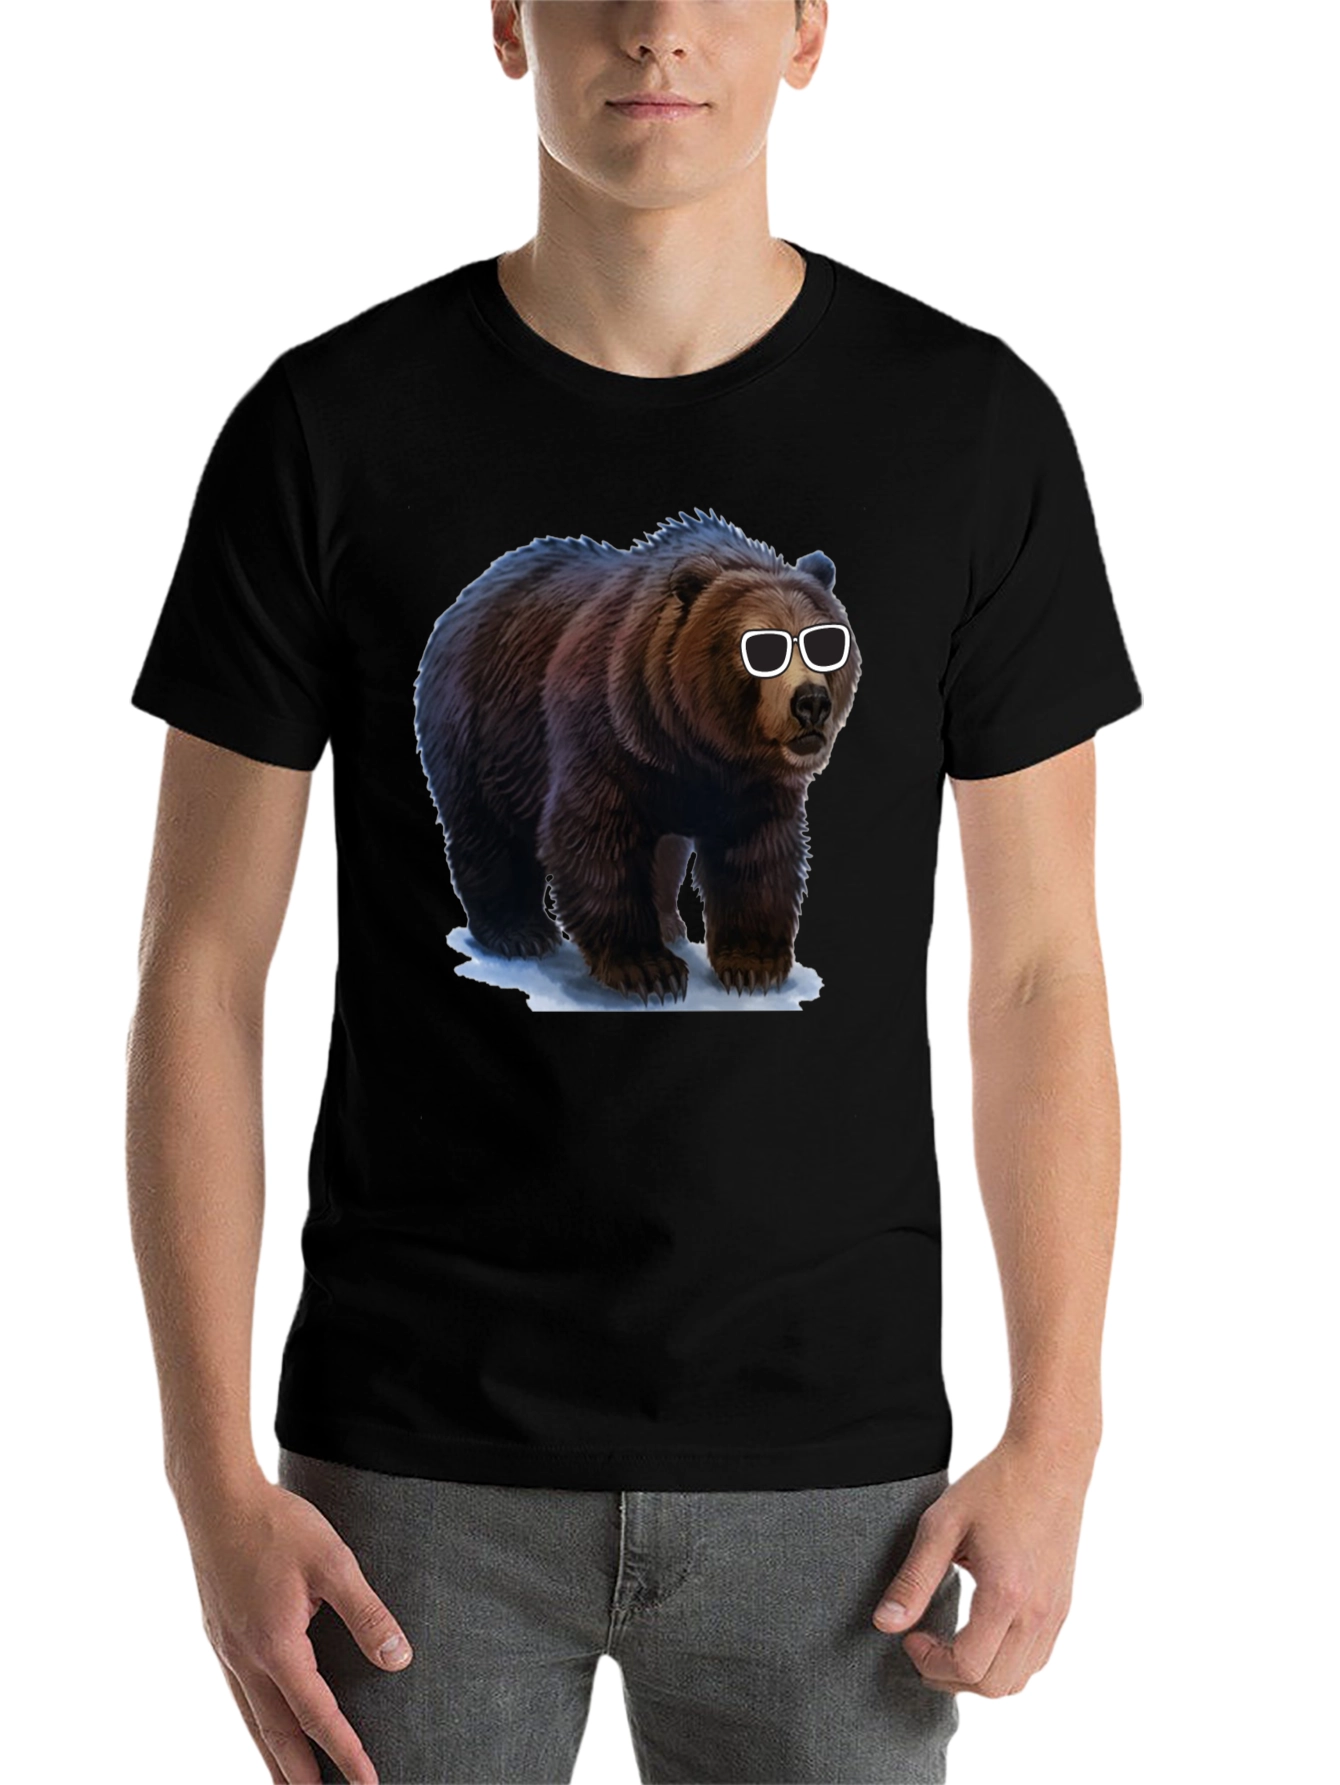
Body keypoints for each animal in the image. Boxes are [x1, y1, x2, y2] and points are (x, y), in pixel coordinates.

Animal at [414, 509, 860, 1005]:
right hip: (480, 726)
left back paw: (666, 922)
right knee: (484, 824)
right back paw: (518, 932)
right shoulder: (606, 731)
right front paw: (648, 970)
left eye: (825, 645)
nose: (811, 702)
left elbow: (756, 849)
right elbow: (593, 838)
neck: (697, 743)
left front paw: (752, 964)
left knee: (664, 850)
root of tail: (467, 597)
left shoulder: (747, 779)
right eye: (762, 647)